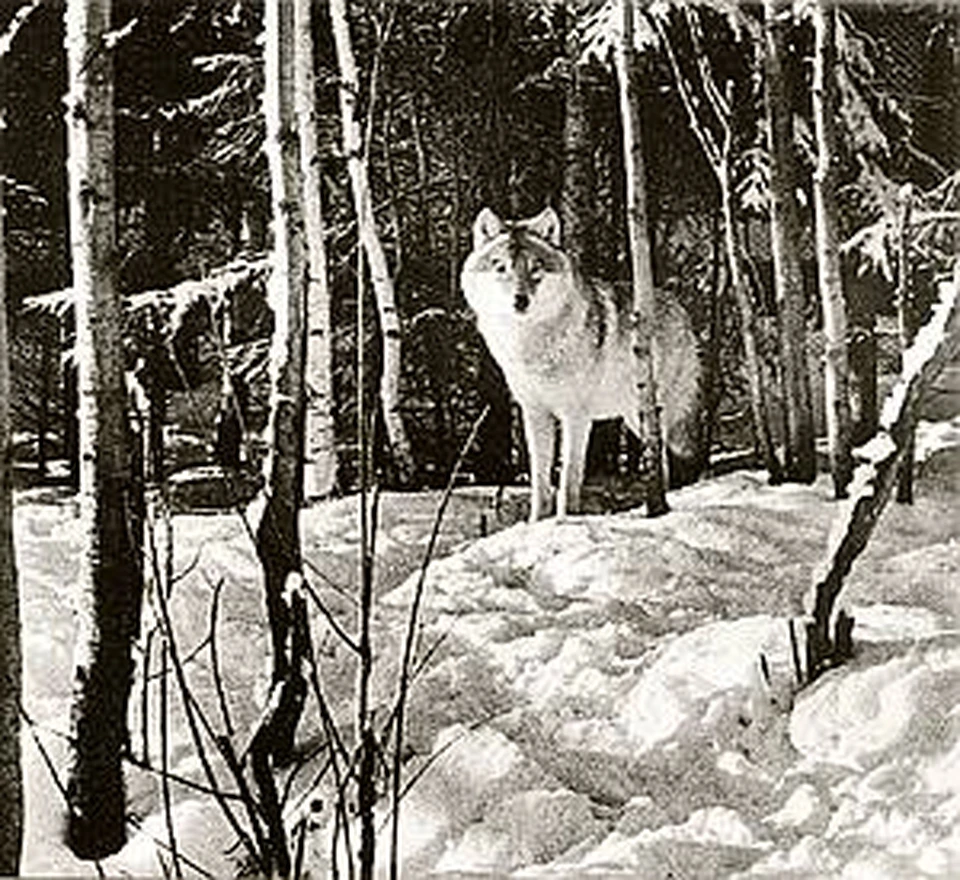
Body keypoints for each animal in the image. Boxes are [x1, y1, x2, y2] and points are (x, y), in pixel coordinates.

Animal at [462, 206, 700, 524]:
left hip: (651, 412)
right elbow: (540, 482)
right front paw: (536, 524)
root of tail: (680, 307)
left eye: (535, 267)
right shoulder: (534, 413)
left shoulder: (575, 415)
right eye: (501, 268)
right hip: (633, 417)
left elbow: (568, 480)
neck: (531, 345)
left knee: (662, 456)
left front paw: (565, 521)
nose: (520, 301)